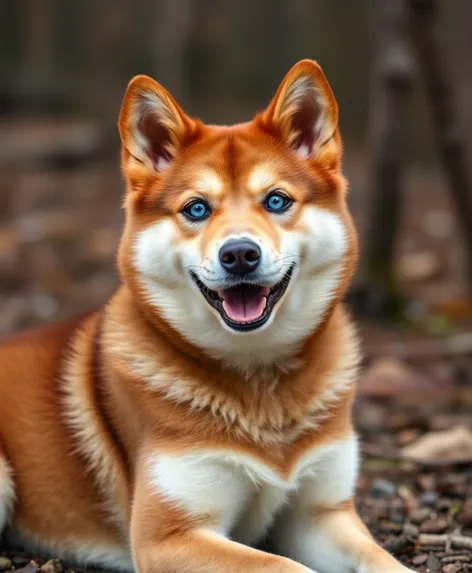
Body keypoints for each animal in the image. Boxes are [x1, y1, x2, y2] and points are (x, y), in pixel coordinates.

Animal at [0, 60, 412, 572]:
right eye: (196, 208)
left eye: (277, 200)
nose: (239, 254)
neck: (261, 386)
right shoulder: (169, 537)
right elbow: (283, 566)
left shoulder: (320, 514)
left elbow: (383, 560)